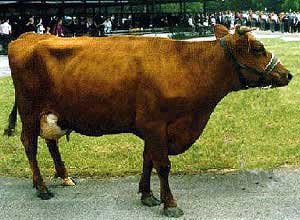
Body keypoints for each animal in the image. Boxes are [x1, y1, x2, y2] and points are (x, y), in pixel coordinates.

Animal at [7, 24, 292, 217]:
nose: (287, 74)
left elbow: (148, 160)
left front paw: (147, 195)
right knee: (30, 145)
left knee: (50, 142)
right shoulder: (155, 124)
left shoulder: (153, 127)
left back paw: (63, 176)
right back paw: (42, 187)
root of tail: (29, 36)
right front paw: (170, 204)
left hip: (52, 113)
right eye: (258, 48)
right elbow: (162, 165)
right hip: (29, 111)